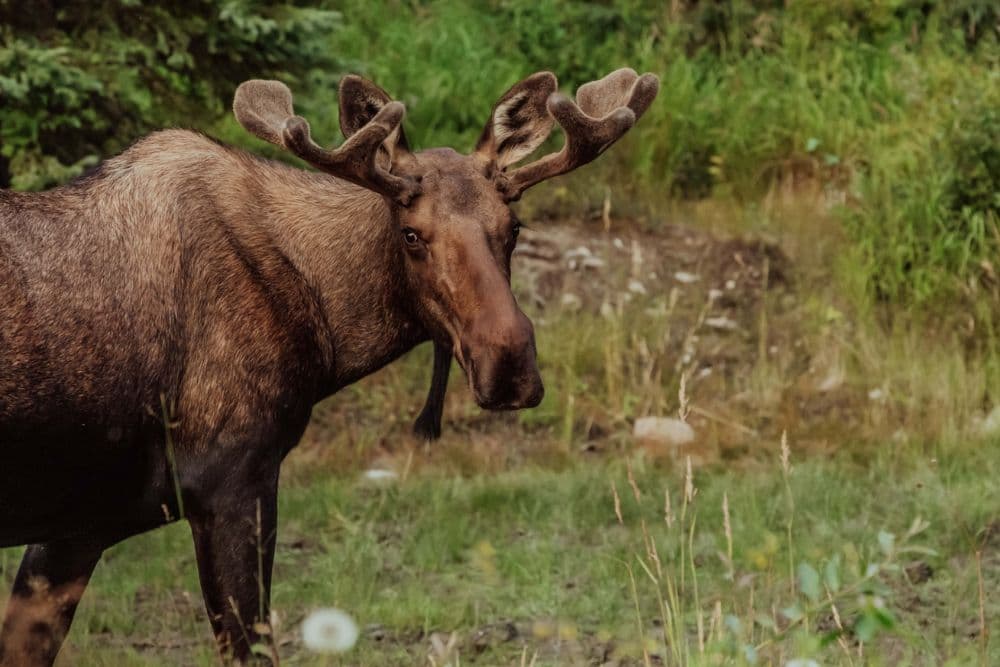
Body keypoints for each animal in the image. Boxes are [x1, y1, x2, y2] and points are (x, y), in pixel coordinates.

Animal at [0, 68, 660, 664]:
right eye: (412, 234)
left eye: (515, 227)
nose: (510, 367)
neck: (324, 333)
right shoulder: (232, 482)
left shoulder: (79, 527)